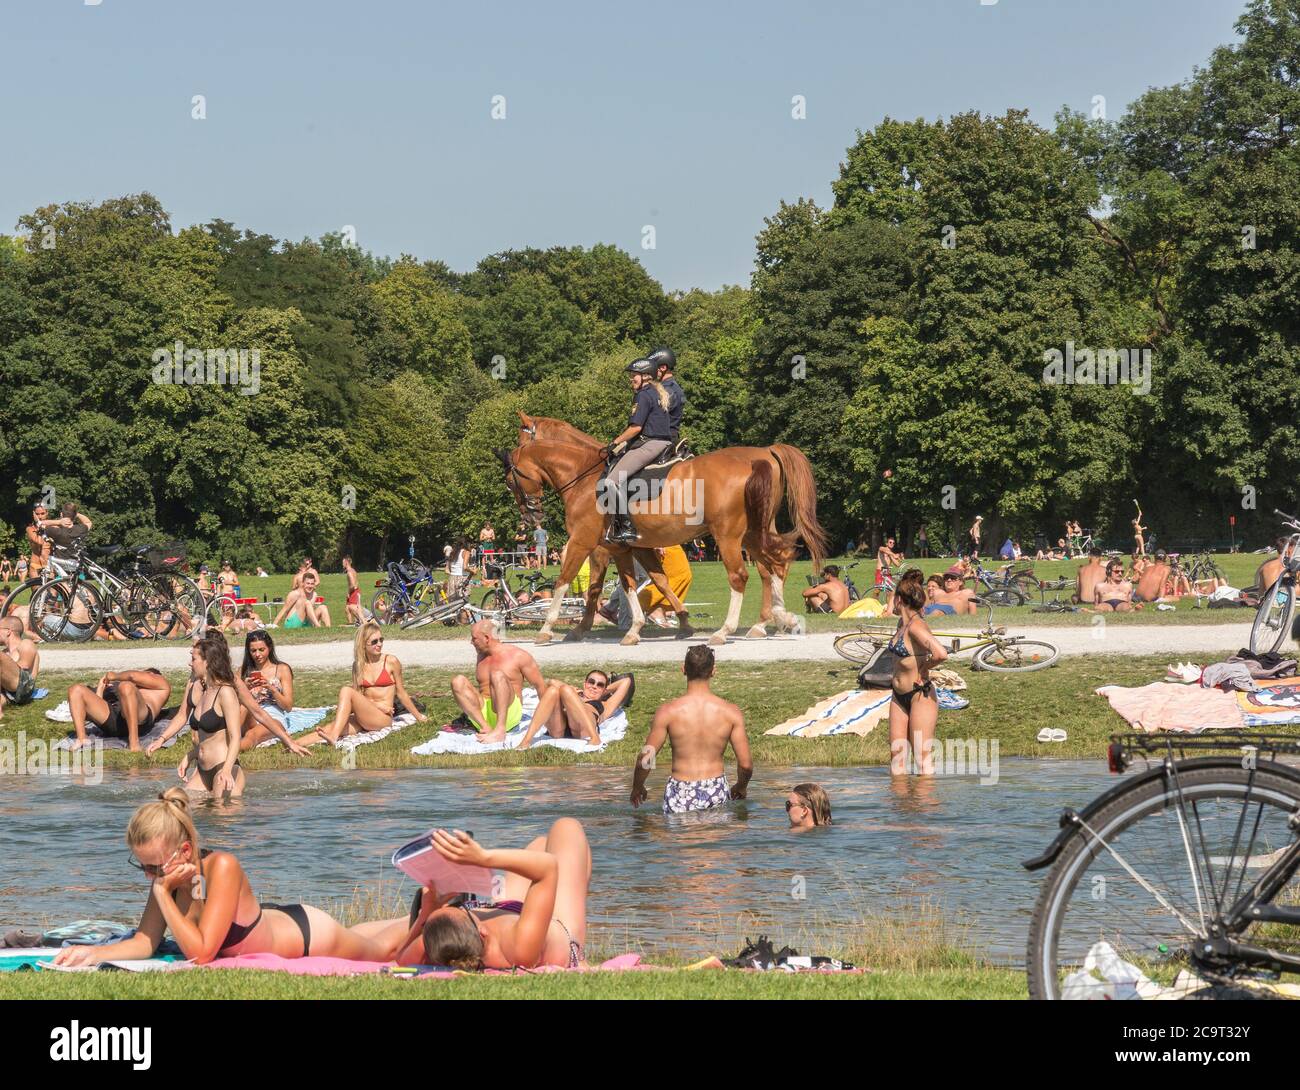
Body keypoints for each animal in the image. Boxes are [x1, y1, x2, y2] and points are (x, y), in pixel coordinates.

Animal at [496, 424, 821, 647]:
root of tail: (762, 454)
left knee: (743, 575)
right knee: (775, 565)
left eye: (511, 481)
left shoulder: (583, 543)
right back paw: (774, 619)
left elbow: (567, 582)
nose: (531, 517)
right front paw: (645, 628)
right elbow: (641, 583)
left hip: (730, 536)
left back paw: (728, 630)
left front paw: (548, 629)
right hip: (754, 534)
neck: (585, 476)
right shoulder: (625, 547)